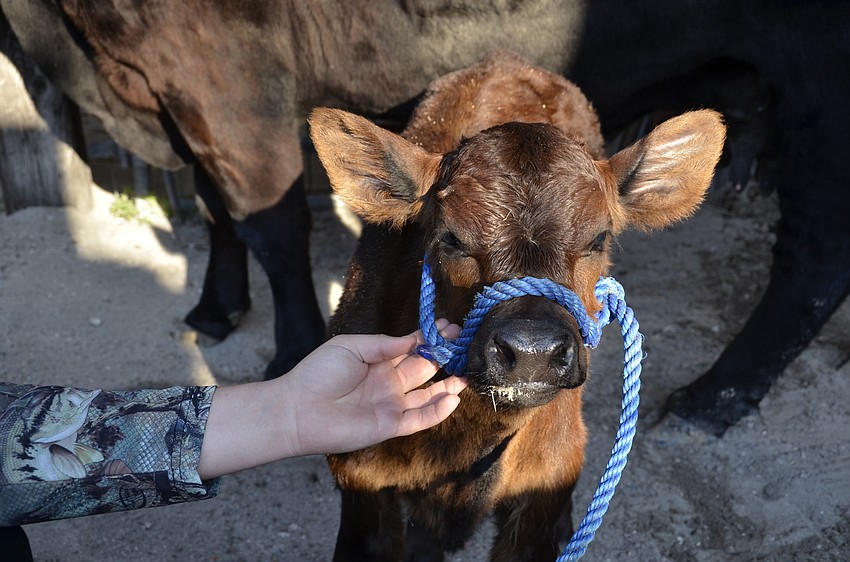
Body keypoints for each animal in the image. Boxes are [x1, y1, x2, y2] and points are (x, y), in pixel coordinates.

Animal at [2, 0, 849, 434]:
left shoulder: (227, 82)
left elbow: (268, 222)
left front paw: (294, 350)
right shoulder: (169, 94)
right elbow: (215, 210)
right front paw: (216, 308)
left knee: (816, 261)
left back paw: (715, 398)